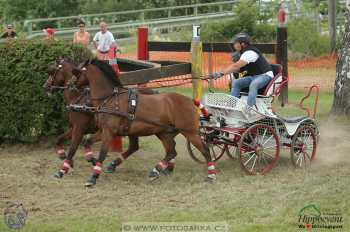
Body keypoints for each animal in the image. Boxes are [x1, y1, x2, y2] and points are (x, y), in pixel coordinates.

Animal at [72, 59, 216, 187]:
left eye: (78, 71)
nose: (71, 85)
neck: (109, 99)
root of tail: (190, 101)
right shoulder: (103, 131)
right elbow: (87, 142)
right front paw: (91, 159)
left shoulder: (109, 132)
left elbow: (102, 153)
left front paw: (93, 177)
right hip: (163, 132)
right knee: (171, 151)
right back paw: (156, 171)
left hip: (190, 132)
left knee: (204, 150)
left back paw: (211, 175)